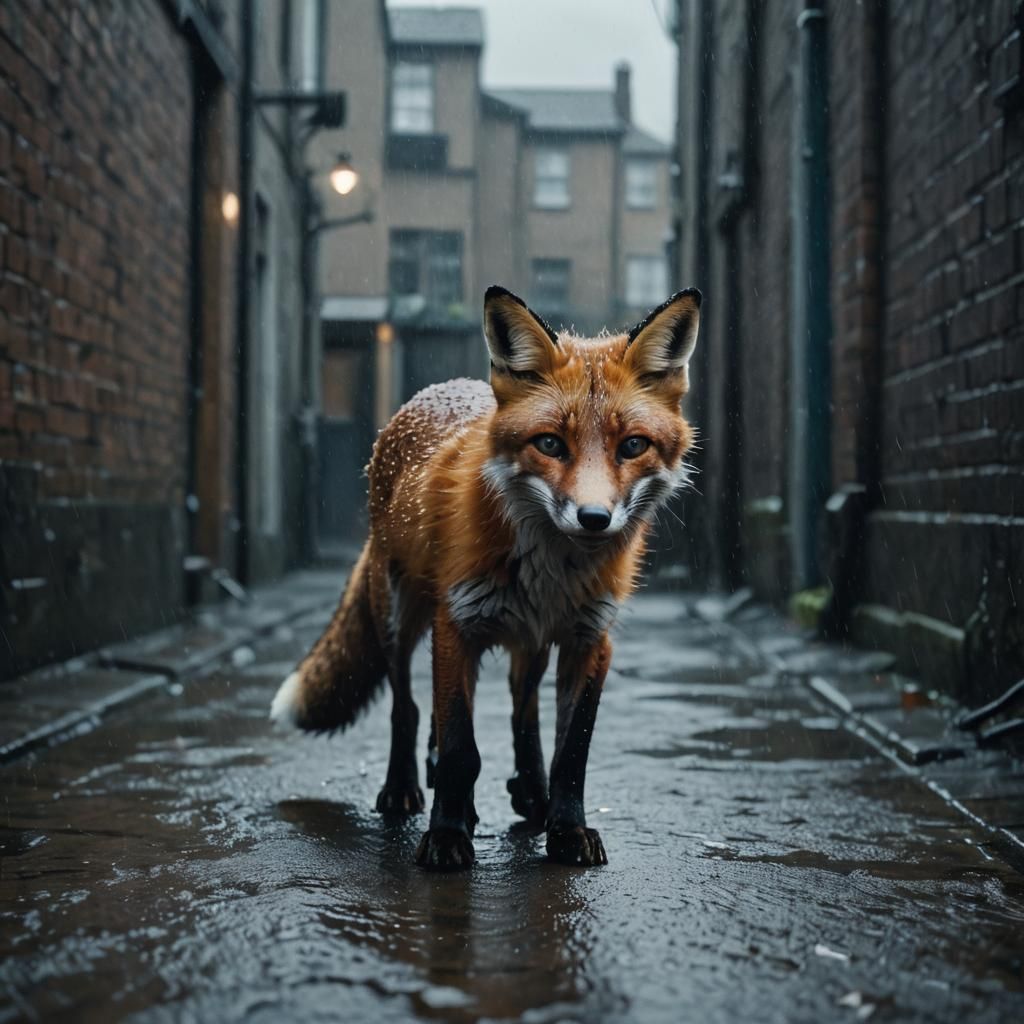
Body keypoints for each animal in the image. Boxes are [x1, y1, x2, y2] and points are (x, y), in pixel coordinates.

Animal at [271, 284, 701, 871]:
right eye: (550, 444)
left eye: (633, 446)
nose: (594, 518)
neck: (552, 570)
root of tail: (440, 388)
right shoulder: (458, 624)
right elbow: (458, 747)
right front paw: (447, 835)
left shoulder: (591, 638)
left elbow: (572, 751)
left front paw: (567, 830)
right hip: (399, 614)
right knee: (408, 708)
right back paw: (403, 789)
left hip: (530, 639)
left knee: (524, 710)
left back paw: (532, 794)